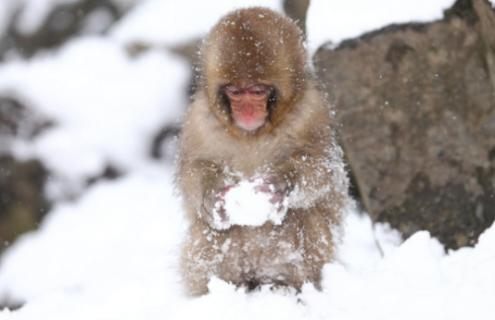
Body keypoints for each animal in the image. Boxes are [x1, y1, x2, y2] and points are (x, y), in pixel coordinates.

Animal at [176, 6, 350, 296]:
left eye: (257, 91)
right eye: (235, 92)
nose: (246, 111)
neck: (251, 134)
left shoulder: (312, 112)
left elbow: (323, 168)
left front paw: (280, 183)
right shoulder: (198, 119)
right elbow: (192, 170)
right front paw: (212, 196)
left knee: (302, 216)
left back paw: (288, 286)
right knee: (209, 231)